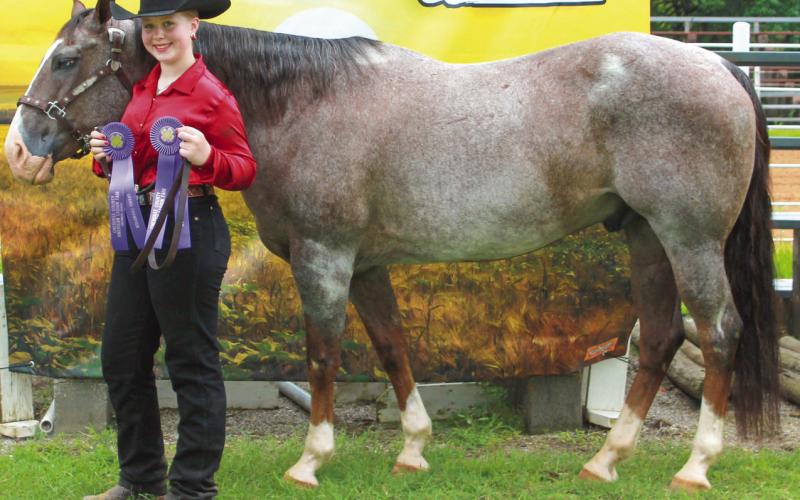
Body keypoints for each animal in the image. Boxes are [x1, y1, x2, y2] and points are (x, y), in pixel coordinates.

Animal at [5, 0, 781, 492]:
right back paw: (606, 460)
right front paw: (412, 449)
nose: (20, 147)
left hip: (690, 240)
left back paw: (695, 466)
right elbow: (393, 349)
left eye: (67, 58)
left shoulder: (324, 257)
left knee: (717, 331)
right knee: (660, 337)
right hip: (647, 238)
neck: (302, 105)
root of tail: (719, 66)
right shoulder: (367, 265)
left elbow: (323, 356)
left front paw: (311, 461)